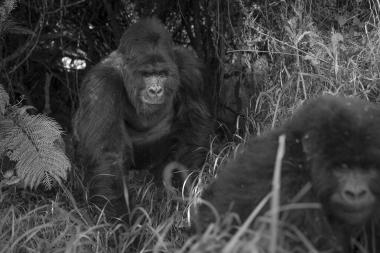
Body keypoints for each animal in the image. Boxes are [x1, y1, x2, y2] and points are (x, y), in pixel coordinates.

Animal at [72, 17, 212, 216]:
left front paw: (185, 187)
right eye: (147, 74)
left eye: (161, 74)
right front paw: (119, 218)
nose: (155, 90)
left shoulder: (190, 70)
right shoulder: (101, 83)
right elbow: (107, 154)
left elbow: (192, 128)